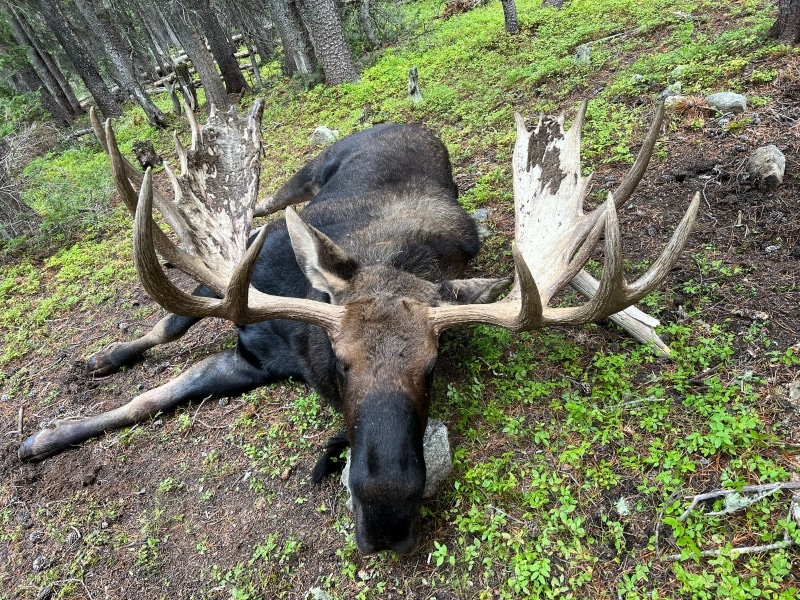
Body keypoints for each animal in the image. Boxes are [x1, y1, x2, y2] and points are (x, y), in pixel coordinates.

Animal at [18, 98, 699, 555]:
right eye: (341, 361)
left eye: (434, 365)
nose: (388, 513)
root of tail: (403, 122)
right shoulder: (241, 289)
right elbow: (161, 349)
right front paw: (53, 425)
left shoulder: (252, 358)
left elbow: (157, 392)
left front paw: (48, 433)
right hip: (299, 176)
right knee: (252, 209)